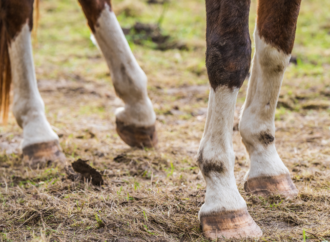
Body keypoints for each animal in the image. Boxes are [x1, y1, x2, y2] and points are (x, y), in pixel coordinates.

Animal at [0, 0, 300, 238]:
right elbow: (231, 53)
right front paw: (223, 196)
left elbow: (276, 47)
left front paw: (266, 160)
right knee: (18, 12)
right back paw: (37, 131)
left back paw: (138, 109)